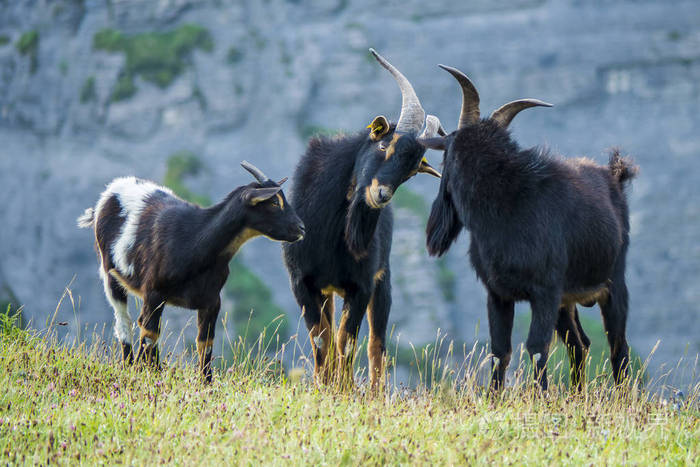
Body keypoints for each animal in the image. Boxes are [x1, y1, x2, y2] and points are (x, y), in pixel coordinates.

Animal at [78, 163, 304, 382]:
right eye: (274, 202)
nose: (301, 228)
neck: (194, 240)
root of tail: (111, 191)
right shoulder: (154, 292)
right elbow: (149, 333)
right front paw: (145, 374)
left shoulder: (212, 301)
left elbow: (205, 342)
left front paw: (206, 383)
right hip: (110, 274)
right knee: (124, 321)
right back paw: (129, 364)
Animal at [282, 49, 440, 390]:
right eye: (383, 144)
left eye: (411, 170)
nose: (381, 194)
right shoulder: (303, 282)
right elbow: (322, 339)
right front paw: (325, 385)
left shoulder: (362, 285)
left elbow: (347, 341)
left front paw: (343, 388)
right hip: (329, 291)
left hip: (383, 282)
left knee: (376, 345)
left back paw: (374, 393)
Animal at [418, 66, 636, 392]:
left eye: (446, 157)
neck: (505, 205)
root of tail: (615, 176)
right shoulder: (498, 294)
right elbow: (500, 351)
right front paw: (493, 397)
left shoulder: (544, 292)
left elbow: (536, 347)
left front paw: (541, 395)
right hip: (566, 302)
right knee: (580, 344)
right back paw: (576, 395)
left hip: (612, 285)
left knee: (618, 347)